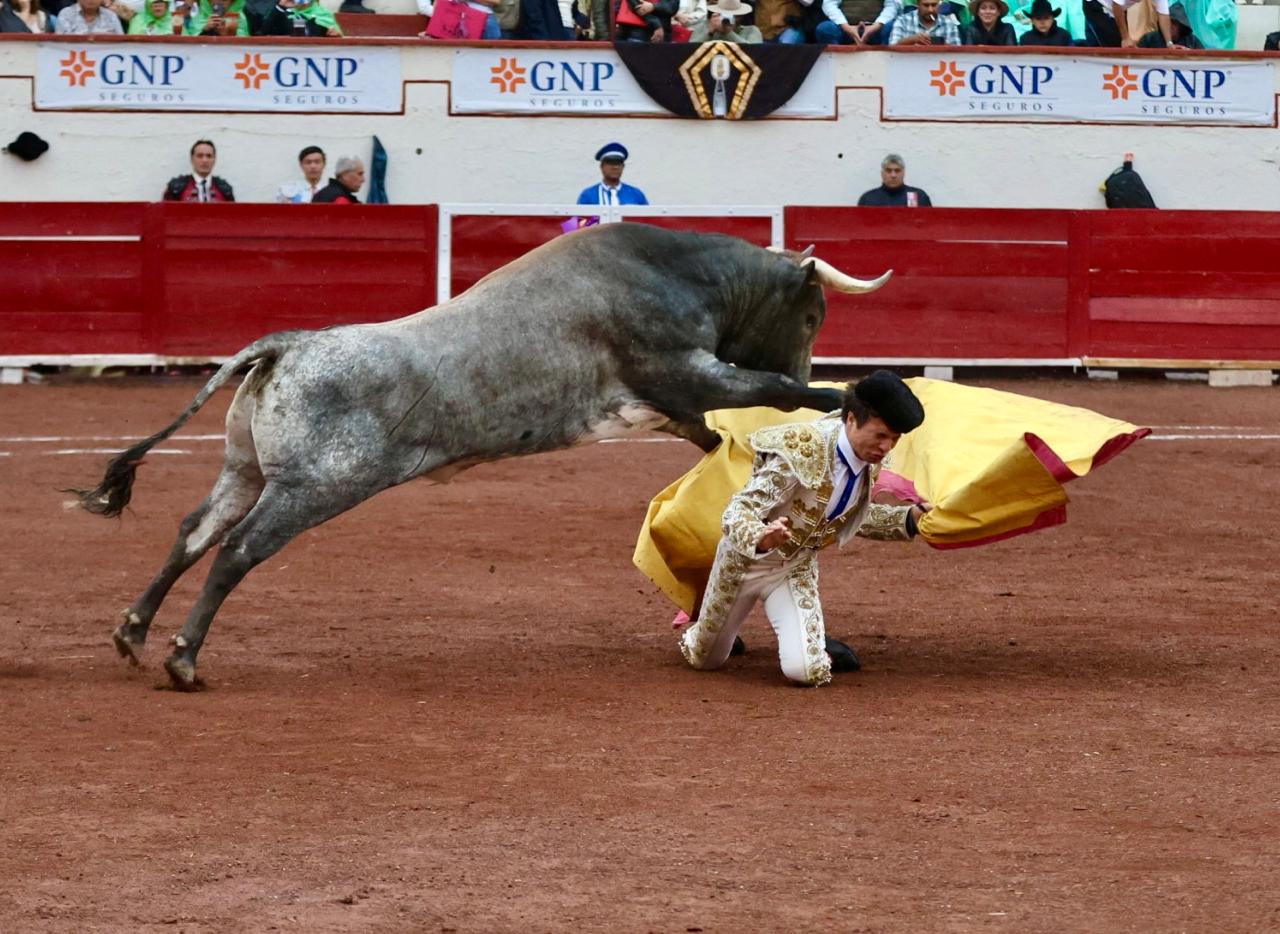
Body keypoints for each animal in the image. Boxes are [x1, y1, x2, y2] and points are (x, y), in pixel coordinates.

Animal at [72, 223, 891, 690]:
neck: (680, 272)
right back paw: (183, 659)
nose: (813, 347)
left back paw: (133, 634)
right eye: (811, 314)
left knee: (193, 532)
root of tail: (287, 345)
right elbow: (775, 388)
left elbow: (716, 436)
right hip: (315, 486)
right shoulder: (683, 369)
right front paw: (836, 395)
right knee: (238, 549)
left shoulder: (676, 406)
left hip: (244, 470)